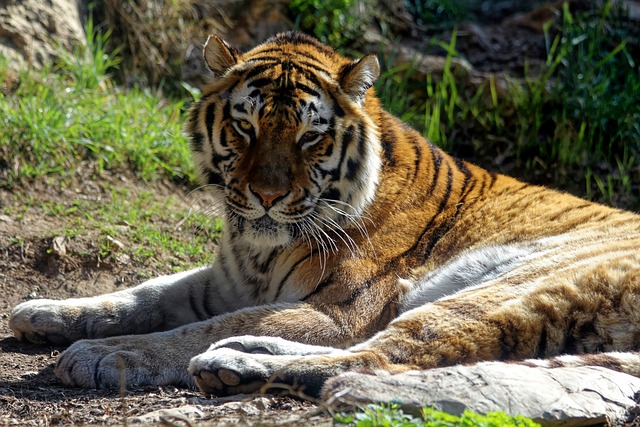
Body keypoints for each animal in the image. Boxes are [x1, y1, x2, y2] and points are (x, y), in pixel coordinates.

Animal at [8, 31, 640, 400]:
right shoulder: (224, 281)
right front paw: (43, 311)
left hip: (516, 285)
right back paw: (243, 355)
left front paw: (105, 355)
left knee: (383, 359)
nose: (265, 195)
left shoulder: (339, 310)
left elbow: (199, 327)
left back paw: (231, 363)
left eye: (310, 137)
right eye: (245, 126)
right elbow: (145, 292)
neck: (259, 247)